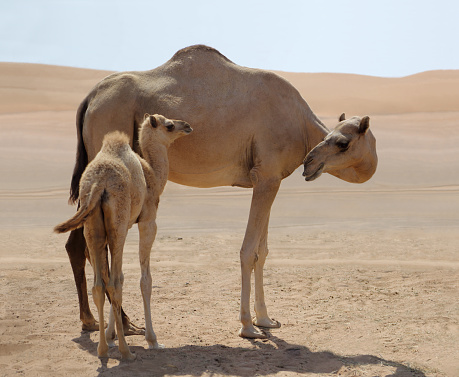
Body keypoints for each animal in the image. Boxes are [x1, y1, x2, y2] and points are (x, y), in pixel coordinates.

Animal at [54, 114, 193, 358]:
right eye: (169, 125)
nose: (187, 126)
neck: (152, 174)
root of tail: (98, 183)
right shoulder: (147, 221)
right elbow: (144, 279)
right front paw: (152, 339)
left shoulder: (124, 226)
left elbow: (114, 274)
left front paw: (110, 336)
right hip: (117, 222)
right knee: (114, 282)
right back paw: (126, 351)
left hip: (94, 225)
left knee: (100, 284)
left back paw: (102, 349)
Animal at [66, 44, 380, 338]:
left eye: (341, 141)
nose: (309, 162)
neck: (300, 126)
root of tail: (90, 98)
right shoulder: (266, 176)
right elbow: (248, 250)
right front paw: (248, 326)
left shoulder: (270, 180)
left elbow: (262, 251)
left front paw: (265, 319)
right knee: (101, 246)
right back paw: (124, 323)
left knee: (78, 243)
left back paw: (91, 320)